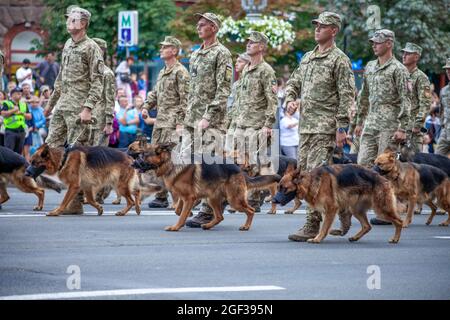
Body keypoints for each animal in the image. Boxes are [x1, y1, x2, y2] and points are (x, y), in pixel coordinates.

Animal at [135, 144, 280, 231]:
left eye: (144, 155)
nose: (133, 164)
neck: (170, 163)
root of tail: (239, 170)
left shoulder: (189, 198)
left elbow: (181, 215)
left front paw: (176, 227)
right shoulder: (184, 198)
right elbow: (178, 210)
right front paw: (188, 214)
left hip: (234, 199)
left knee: (250, 210)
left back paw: (246, 226)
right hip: (212, 199)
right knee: (220, 216)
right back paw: (208, 225)